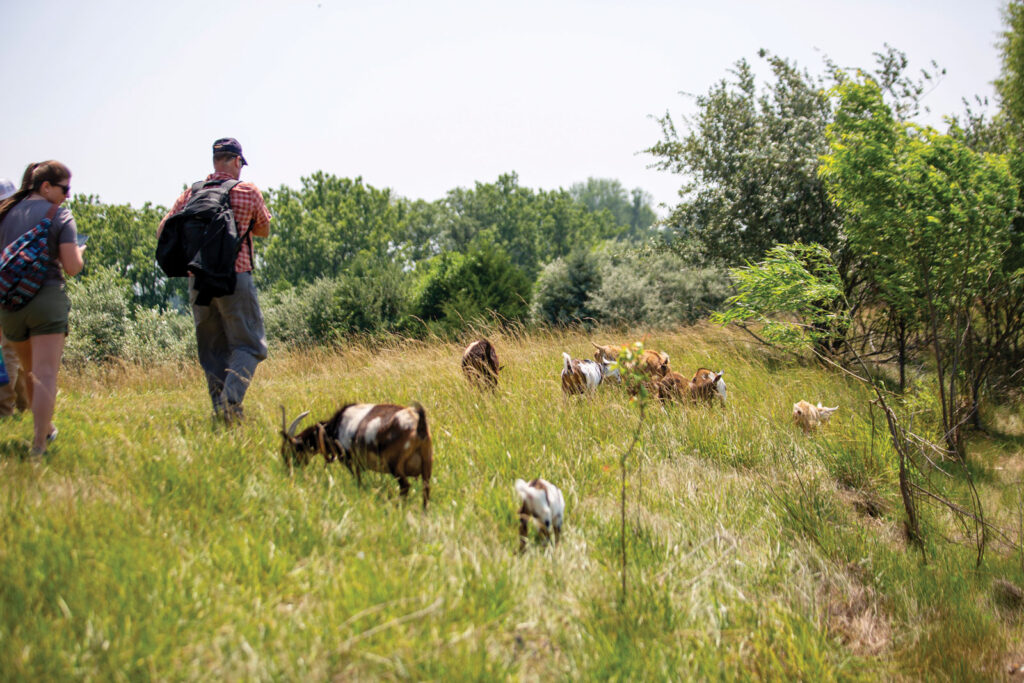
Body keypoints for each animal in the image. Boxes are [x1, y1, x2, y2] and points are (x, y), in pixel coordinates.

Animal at [278, 401, 434, 507]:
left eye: (293, 450)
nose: (289, 471)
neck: (332, 429)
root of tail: (418, 425)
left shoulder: (349, 460)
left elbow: (357, 481)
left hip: (395, 466)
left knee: (405, 486)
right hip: (427, 464)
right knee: (425, 491)